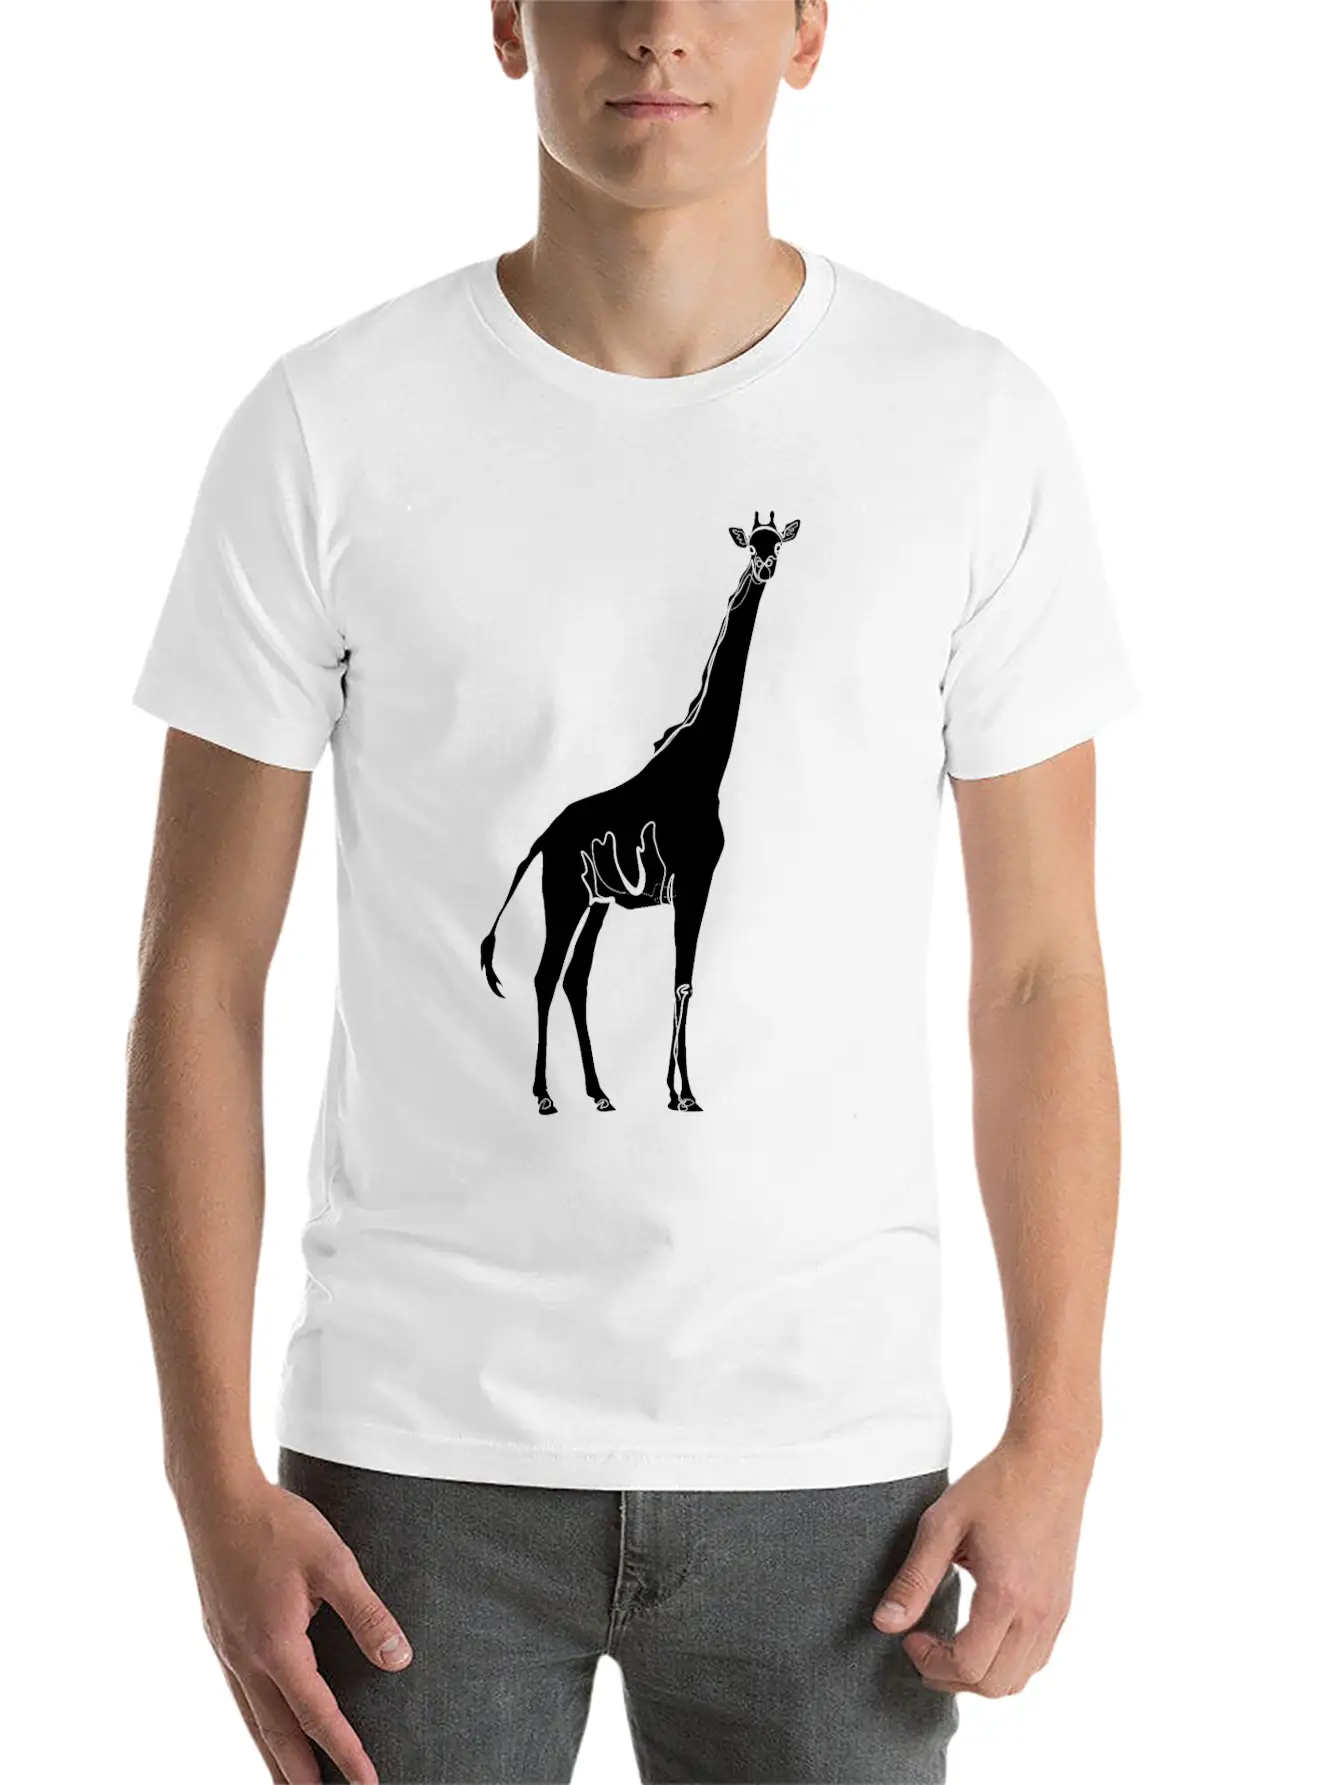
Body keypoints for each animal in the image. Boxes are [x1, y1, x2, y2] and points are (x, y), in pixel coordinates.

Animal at [480, 511, 801, 1114]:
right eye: (752, 546)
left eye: (778, 544)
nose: (768, 567)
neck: (703, 768)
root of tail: (543, 837)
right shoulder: (695, 881)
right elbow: (682, 982)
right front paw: (685, 1094)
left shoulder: (687, 886)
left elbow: (680, 982)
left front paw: (673, 1090)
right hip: (564, 896)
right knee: (544, 975)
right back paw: (545, 1096)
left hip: (598, 902)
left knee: (575, 978)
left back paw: (599, 1093)